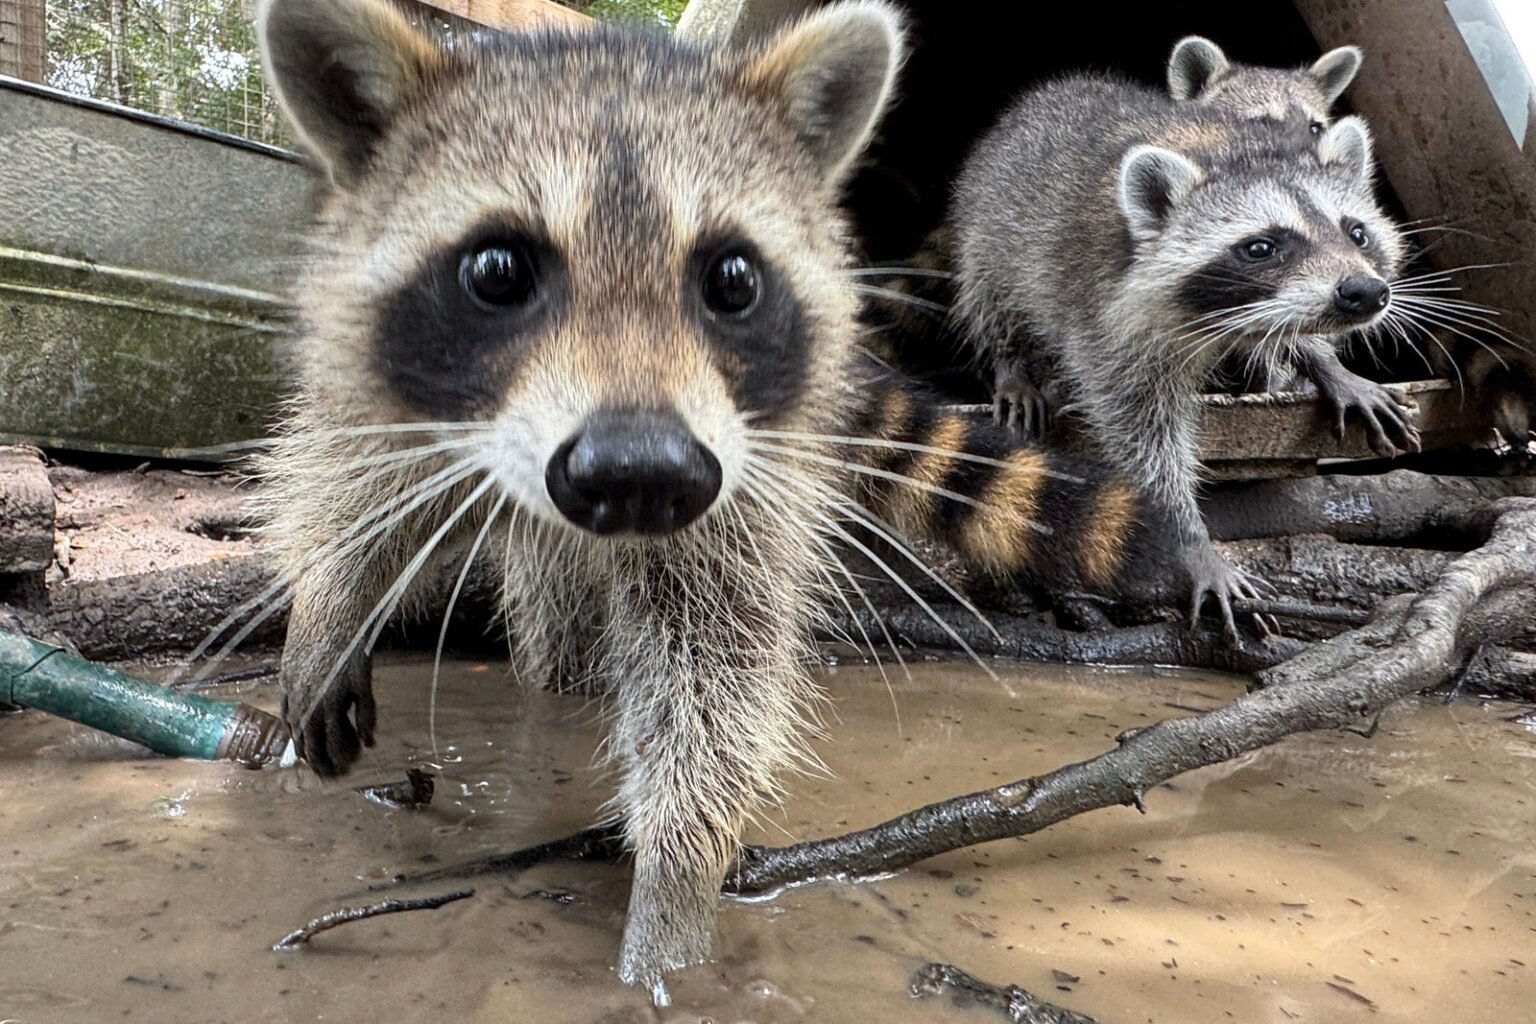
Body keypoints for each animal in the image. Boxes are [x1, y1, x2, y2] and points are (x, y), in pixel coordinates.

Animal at [254, 0, 1186, 998]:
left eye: (733, 281)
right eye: (496, 271)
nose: (637, 474)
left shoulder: (738, 475)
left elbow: (716, 660)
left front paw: (676, 888)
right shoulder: (378, 375)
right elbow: (346, 477)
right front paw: (329, 608)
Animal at [952, 74, 1413, 625]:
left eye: (1356, 232)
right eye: (1262, 247)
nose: (1364, 292)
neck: (1233, 152)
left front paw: (1325, 362)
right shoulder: (1104, 318)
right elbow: (1145, 438)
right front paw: (1188, 538)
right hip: (990, 226)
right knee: (991, 293)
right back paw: (1012, 365)